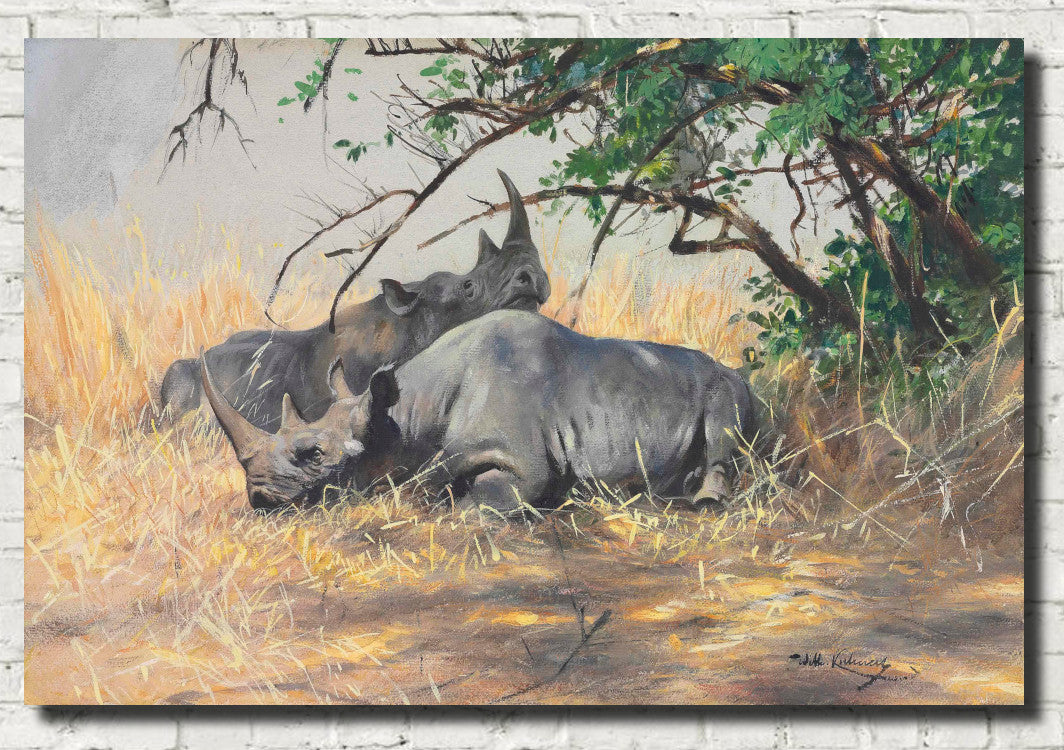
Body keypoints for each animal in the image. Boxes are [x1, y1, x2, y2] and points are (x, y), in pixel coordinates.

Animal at [203, 310, 756, 515]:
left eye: (313, 454)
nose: (260, 499)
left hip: (730, 387)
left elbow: (486, 500)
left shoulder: (524, 463)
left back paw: (702, 503)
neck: (404, 416)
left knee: (724, 428)